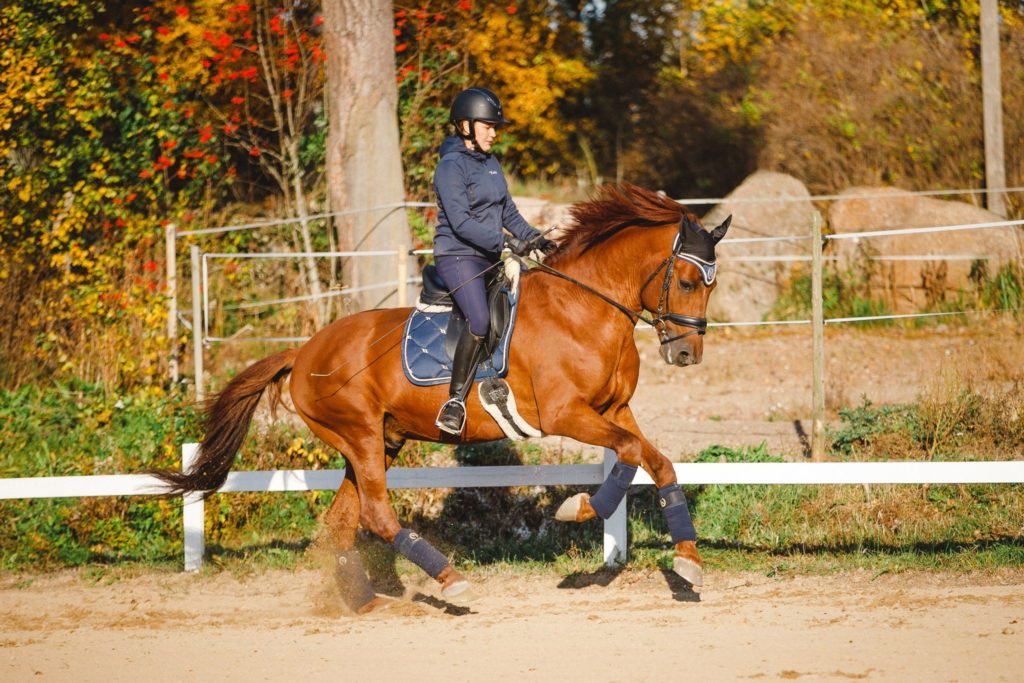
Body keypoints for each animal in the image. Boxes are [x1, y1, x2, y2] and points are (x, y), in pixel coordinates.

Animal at [153, 184, 729, 610]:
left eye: (711, 286)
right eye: (684, 281)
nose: (687, 354)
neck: (583, 308)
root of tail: (305, 350)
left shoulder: (615, 410)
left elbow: (659, 462)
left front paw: (688, 561)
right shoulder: (567, 414)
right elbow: (629, 455)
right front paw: (581, 508)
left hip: (376, 442)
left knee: (342, 523)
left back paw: (362, 601)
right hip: (361, 435)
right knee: (377, 517)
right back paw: (449, 580)